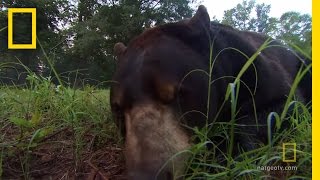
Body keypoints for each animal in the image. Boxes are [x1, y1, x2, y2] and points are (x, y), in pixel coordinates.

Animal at [111, 5, 312, 180]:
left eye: (176, 94)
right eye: (118, 110)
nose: (147, 175)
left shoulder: (253, 66)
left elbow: (282, 108)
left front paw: (226, 153)